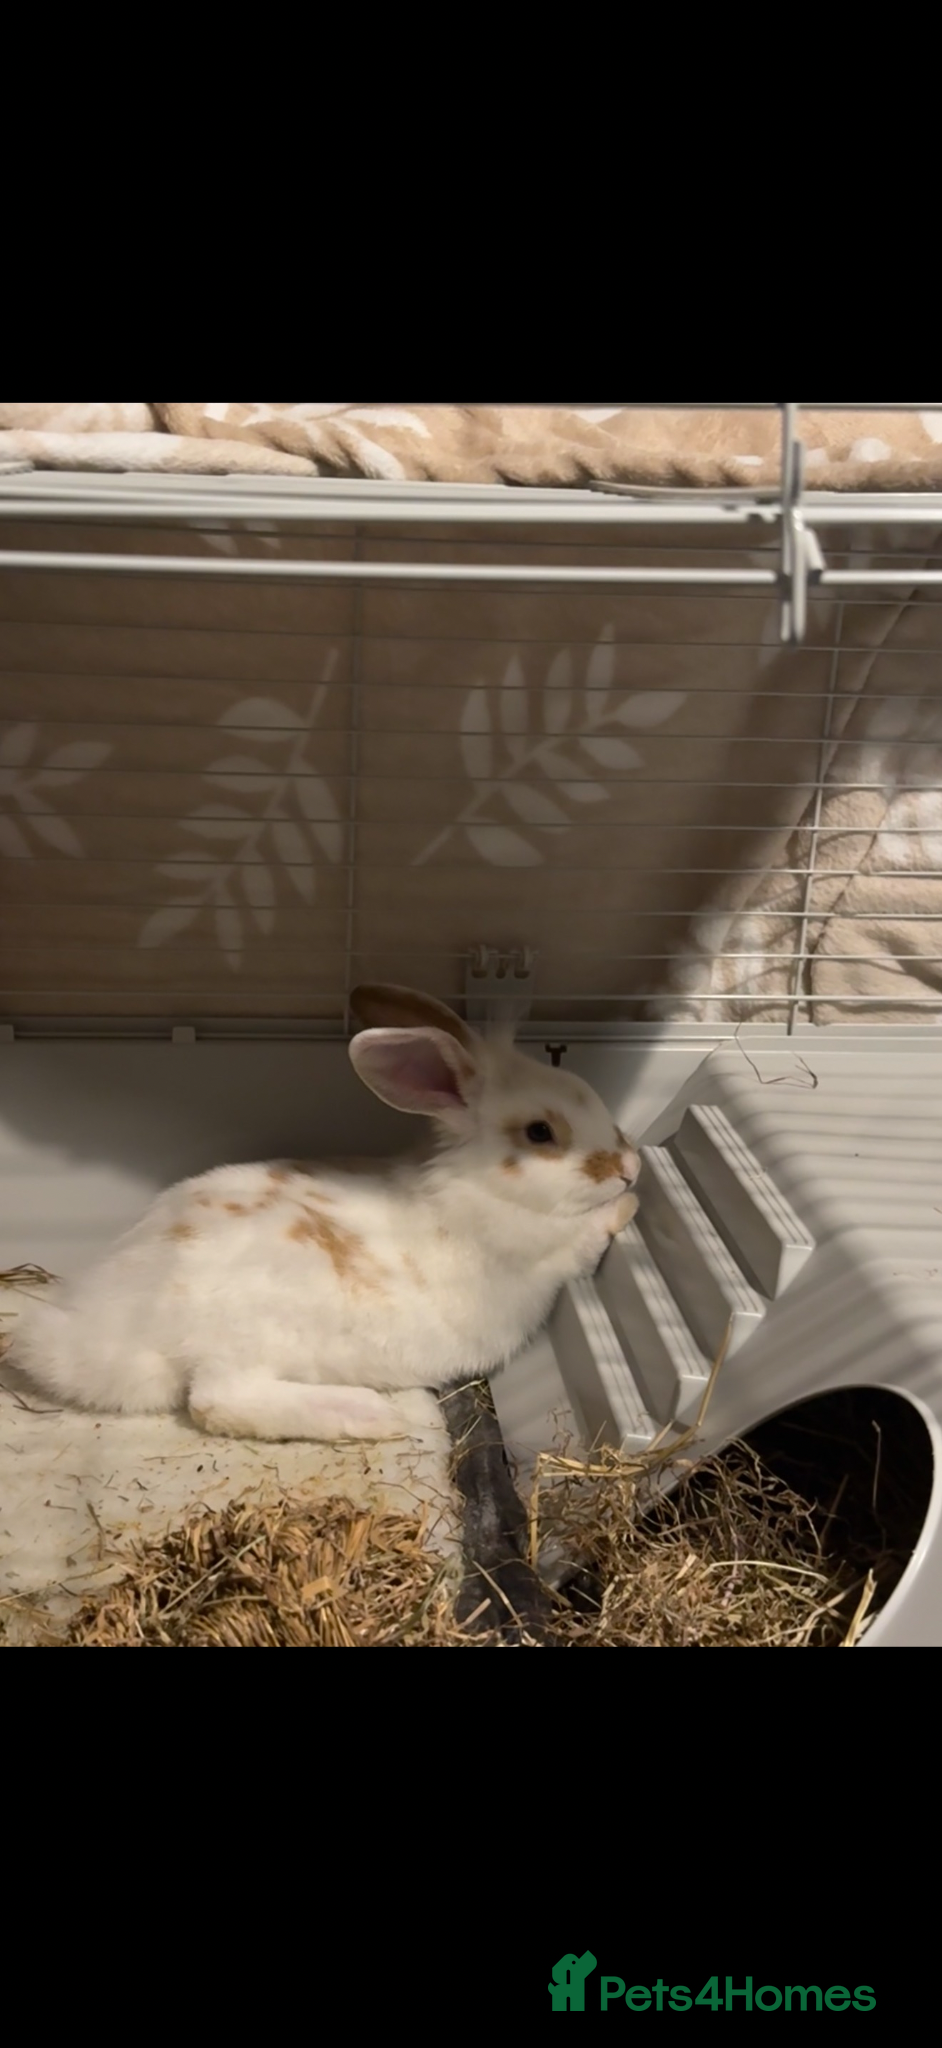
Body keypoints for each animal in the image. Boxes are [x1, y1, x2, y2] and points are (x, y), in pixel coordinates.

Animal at [6, 984, 640, 1445]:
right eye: (540, 1133)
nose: (632, 1165)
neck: (477, 1185)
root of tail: (96, 1334)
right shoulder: (543, 1259)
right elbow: (586, 1240)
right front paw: (627, 1205)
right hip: (250, 1336)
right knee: (216, 1401)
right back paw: (369, 1416)